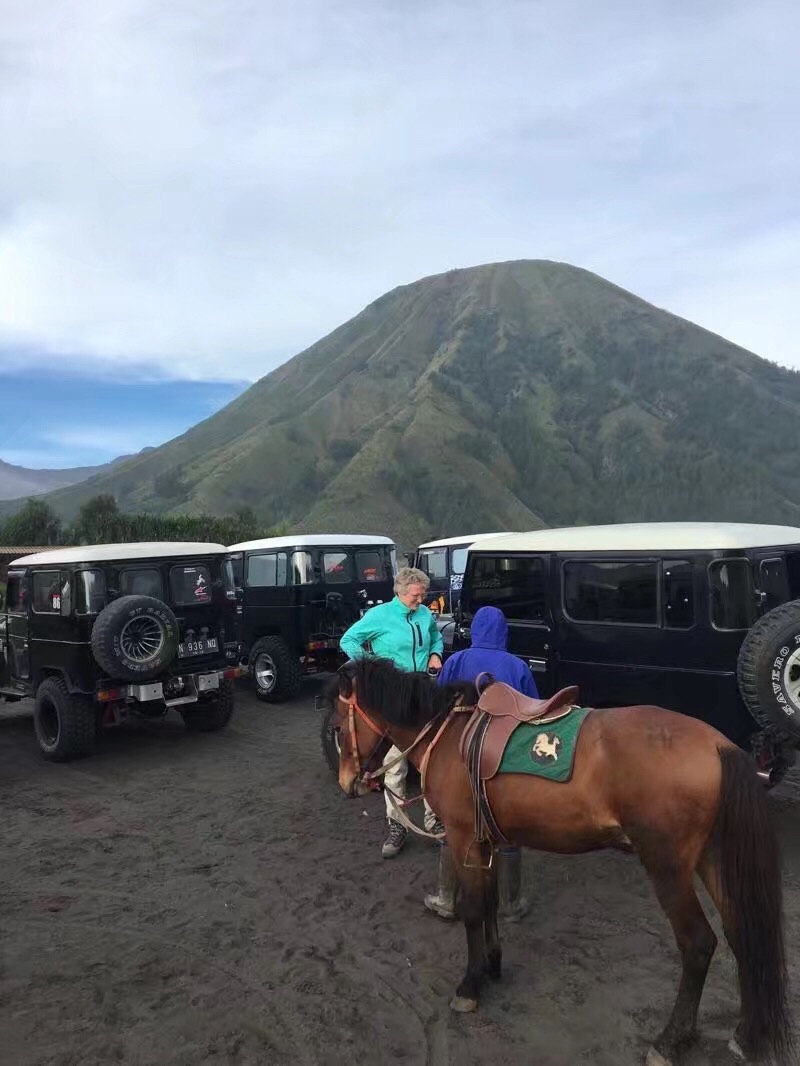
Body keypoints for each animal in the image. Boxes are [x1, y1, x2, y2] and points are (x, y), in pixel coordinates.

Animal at [326, 656, 797, 1066]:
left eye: (335, 726)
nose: (347, 783)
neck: (449, 735)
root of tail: (719, 745)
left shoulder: (462, 838)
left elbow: (473, 910)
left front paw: (470, 984)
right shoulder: (485, 840)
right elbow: (490, 903)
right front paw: (493, 964)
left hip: (669, 870)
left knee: (699, 944)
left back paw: (670, 1040)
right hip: (714, 860)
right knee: (742, 932)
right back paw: (746, 1035)